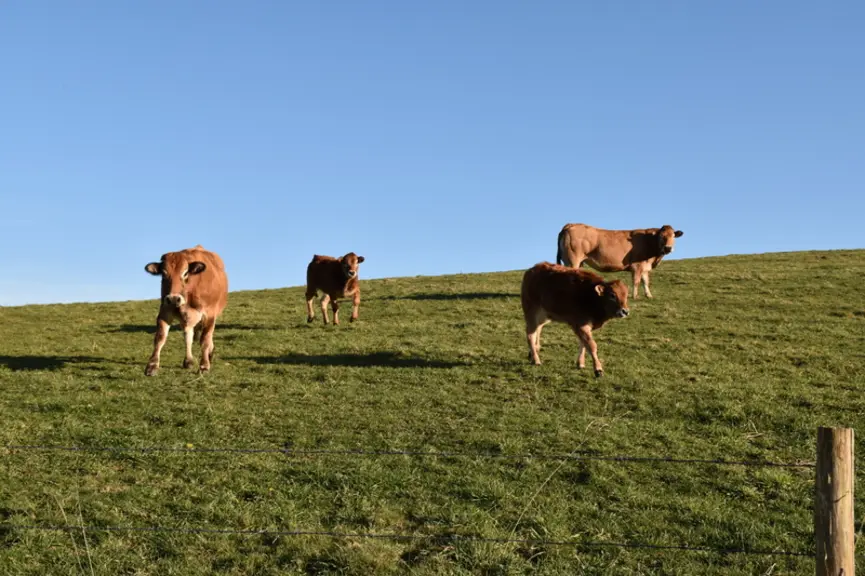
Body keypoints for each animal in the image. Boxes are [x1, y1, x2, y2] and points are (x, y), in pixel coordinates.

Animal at [143, 245, 228, 376]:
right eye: (163, 274)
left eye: (185, 273)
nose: (173, 298)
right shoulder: (165, 311)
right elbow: (160, 337)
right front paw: (152, 366)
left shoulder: (209, 314)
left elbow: (205, 340)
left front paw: (204, 365)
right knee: (188, 336)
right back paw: (188, 360)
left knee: (206, 336)